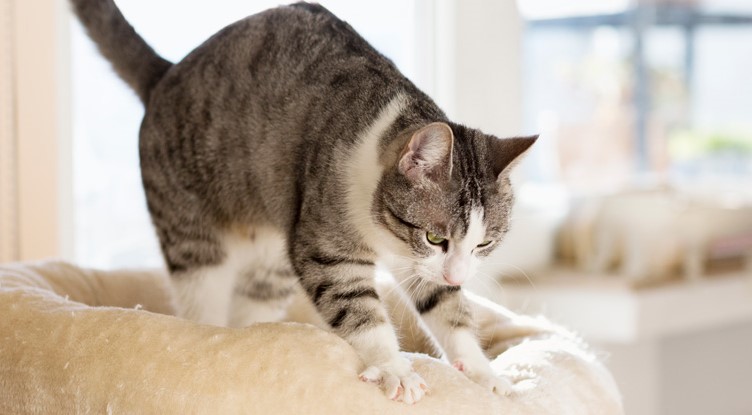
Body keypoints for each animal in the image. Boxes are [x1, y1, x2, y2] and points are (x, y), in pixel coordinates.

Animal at [70, 0, 536, 404]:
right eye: (435, 237)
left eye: (484, 243)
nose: (459, 274)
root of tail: (165, 74)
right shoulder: (326, 242)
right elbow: (358, 307)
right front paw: (393, 367)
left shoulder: (420, 265)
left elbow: (447, 307)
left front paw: (485, 374)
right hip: (192, 235)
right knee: (202, 296)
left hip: (271, 258)